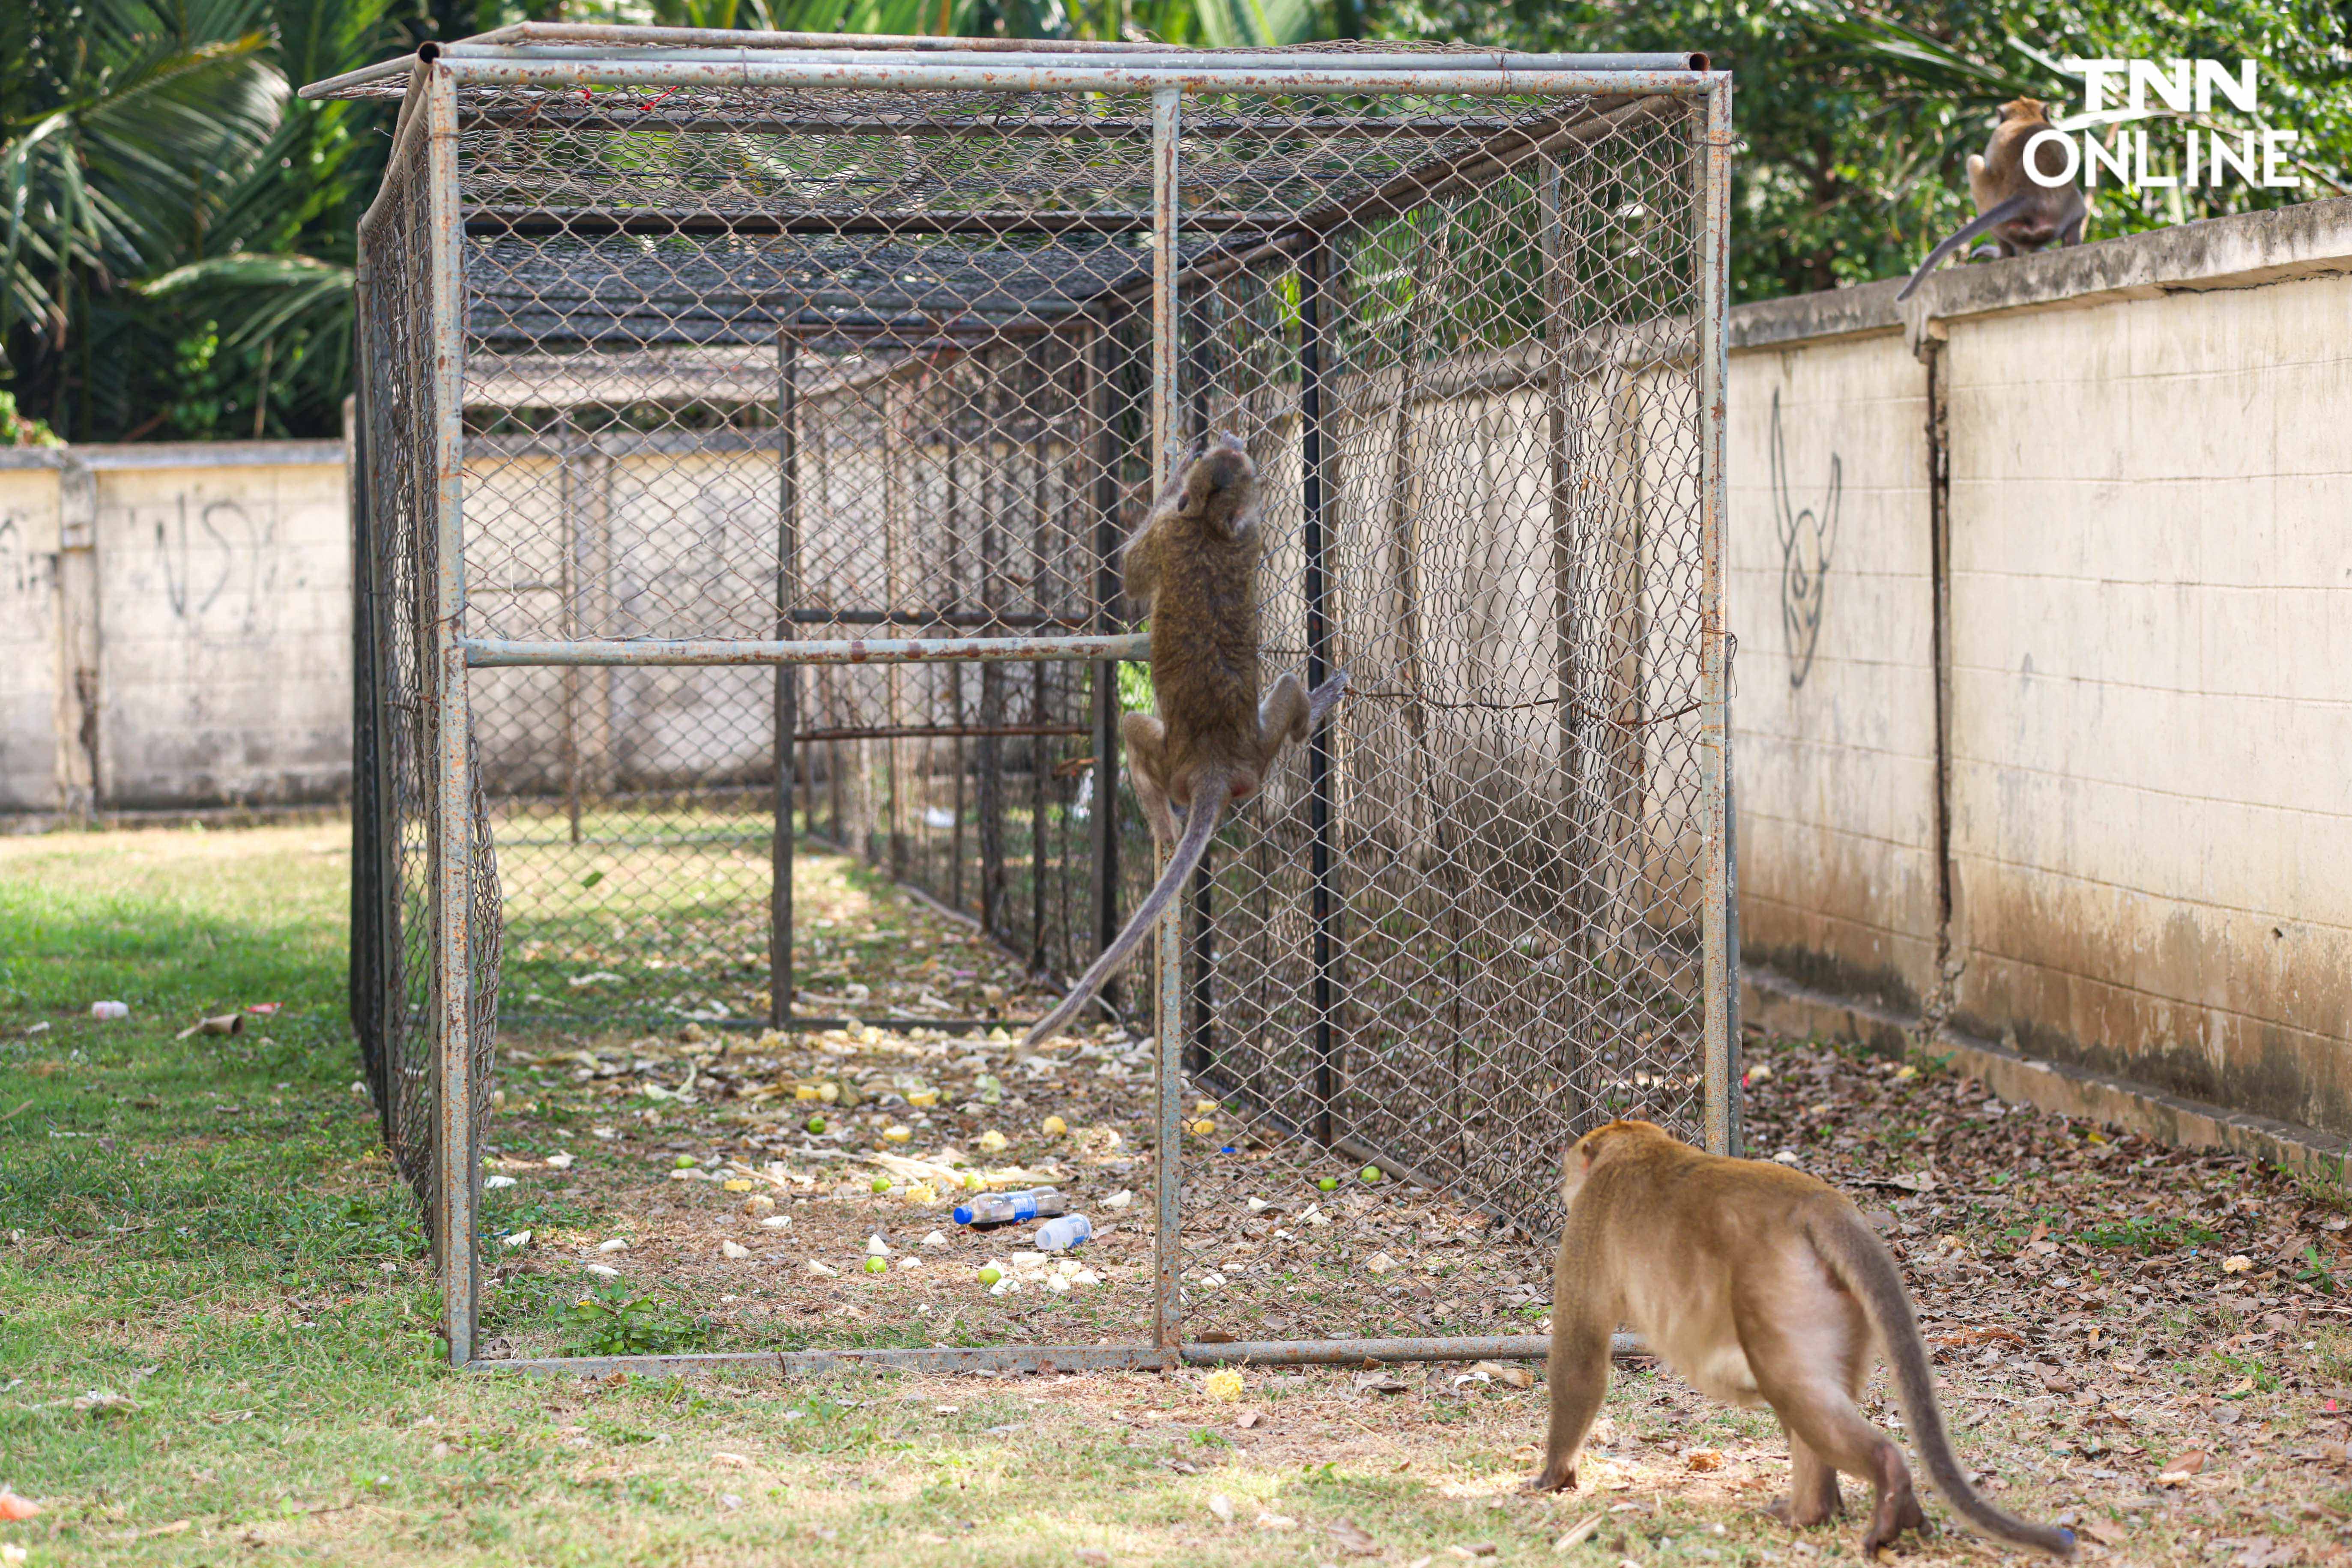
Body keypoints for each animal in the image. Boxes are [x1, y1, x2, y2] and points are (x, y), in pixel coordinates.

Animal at [1025, 430, 1345, 1048]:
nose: (1228, 440)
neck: (1209, 525)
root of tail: (1215, 766)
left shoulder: (1180, 535)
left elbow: (1131, 574)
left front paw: (1174, 479)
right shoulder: (1240, 535)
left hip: (1196, 759)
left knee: (1136, 729)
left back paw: (1166, 826)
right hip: (1245, 755)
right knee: (1274, 695)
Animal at [1543, 1123, 2079, 1551]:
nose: (1564, 1185)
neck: (1639, 1146)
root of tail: (1820, 1206)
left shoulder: (1590, 1220)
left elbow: (1581, 1354)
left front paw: (1554, 1477)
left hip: (1781, 1291)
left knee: (1790, 1389)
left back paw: (1871, 1489)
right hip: (1838, 1305)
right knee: (1802, 1393)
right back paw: (1816, 1510)